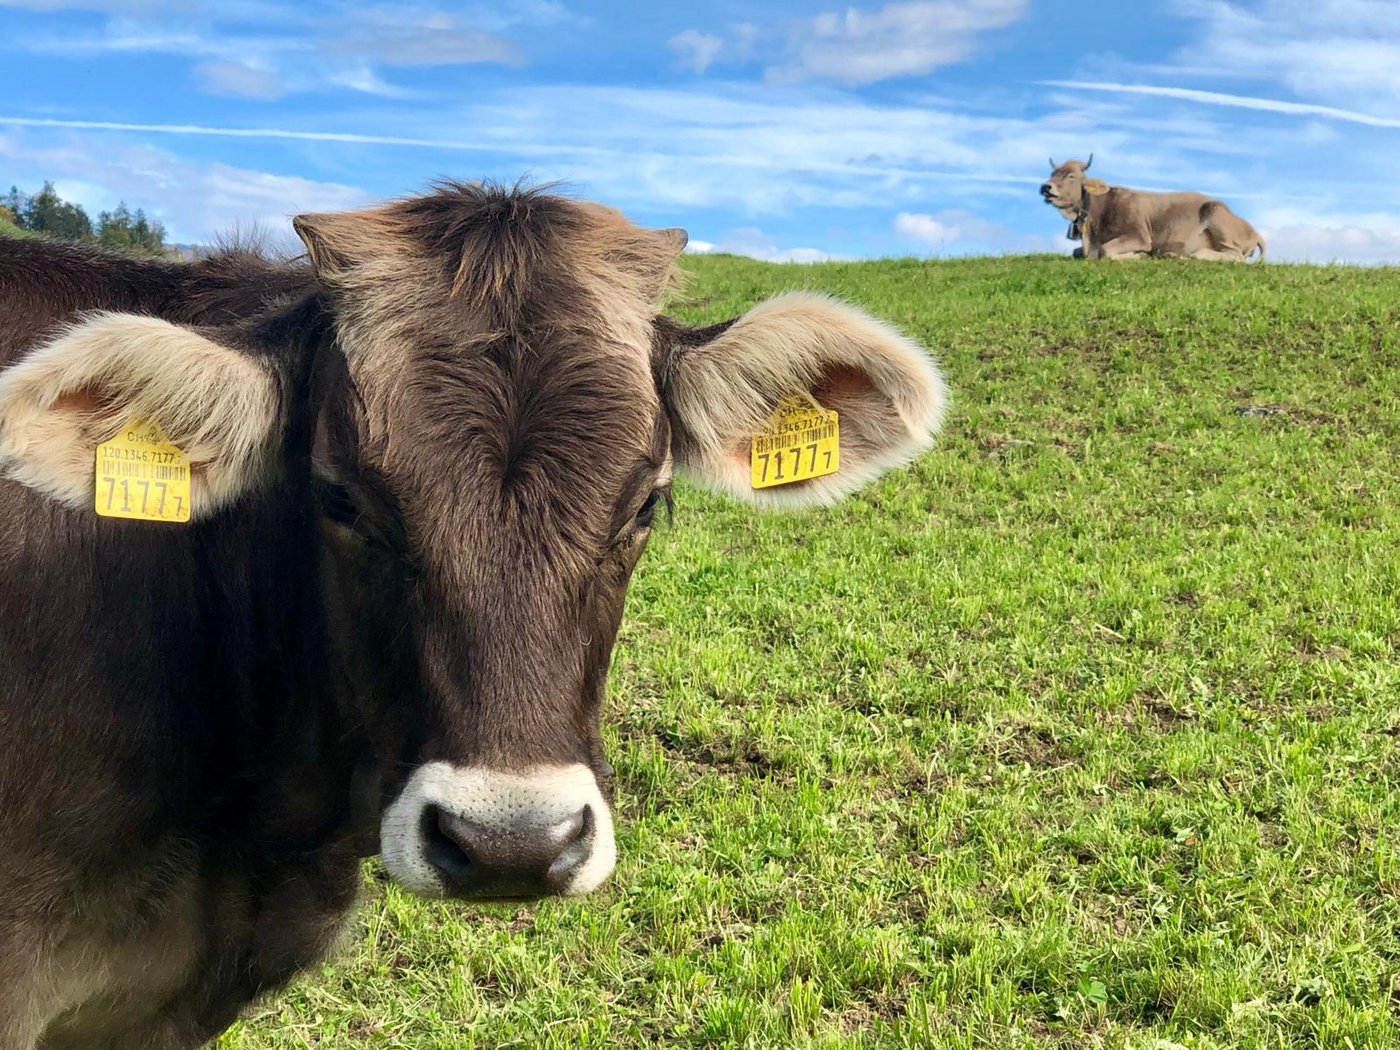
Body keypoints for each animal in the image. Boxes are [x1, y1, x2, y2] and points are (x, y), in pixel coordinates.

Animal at [1040, 156, 1266, 262]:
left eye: (1071, 176)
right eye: (1053, 174)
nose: (1046, 187)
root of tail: (1254, 232)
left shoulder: (1139, 236)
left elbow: (1106, 251)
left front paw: (1139, 256)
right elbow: (1076, 252)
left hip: (1215, 213)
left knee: (1233, 256)